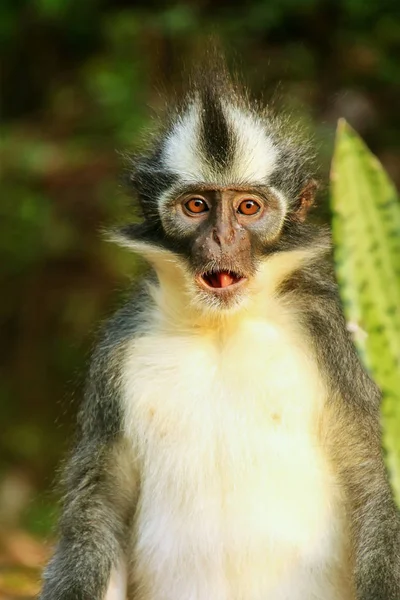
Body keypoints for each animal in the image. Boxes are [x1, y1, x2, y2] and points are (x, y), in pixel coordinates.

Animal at [40, 57, 400, 600]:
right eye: (197, 206)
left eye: (248, 207)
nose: (222, 239)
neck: (222, 328)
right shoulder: (117, 352)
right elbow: (101, 499)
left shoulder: (335, 335)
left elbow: (378, 478)